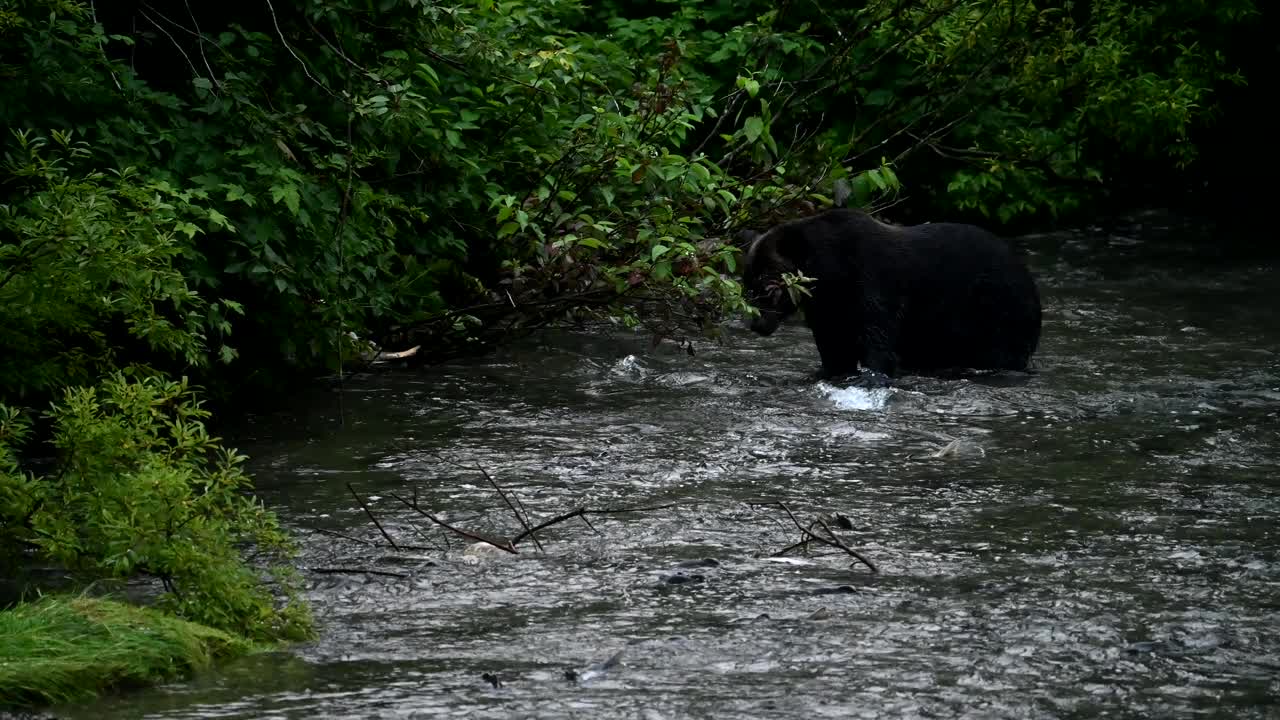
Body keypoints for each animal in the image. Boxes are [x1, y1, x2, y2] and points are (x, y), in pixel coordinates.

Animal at [742, 202, 1039, 379]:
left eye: (766, 287)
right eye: (747, 287)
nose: (756, 324)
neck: (832, 272)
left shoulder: (872, 284)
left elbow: (877, 338)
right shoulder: (828, 306)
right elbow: (834, 347)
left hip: (996, 309)